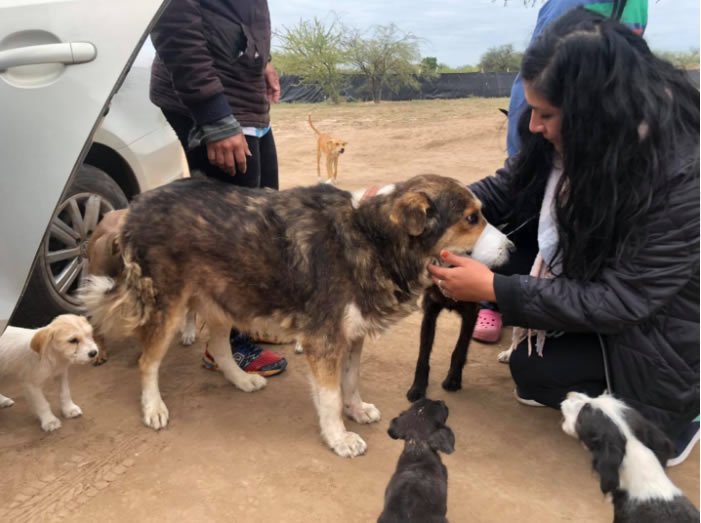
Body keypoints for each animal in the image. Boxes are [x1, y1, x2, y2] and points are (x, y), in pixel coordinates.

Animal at [80, 176, 508, 458]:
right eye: (471, 218)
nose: (513, 247)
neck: (372, 236)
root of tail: (135, 206)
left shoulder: (352, 335)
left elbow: (351, 381)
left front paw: (356, 409)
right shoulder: (325, 341)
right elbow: (331, 396)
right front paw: (338, 436)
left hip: (223, 295)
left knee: (219, 346)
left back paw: (241, 380)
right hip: (167, 305)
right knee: (147, 361)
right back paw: (153, 407)